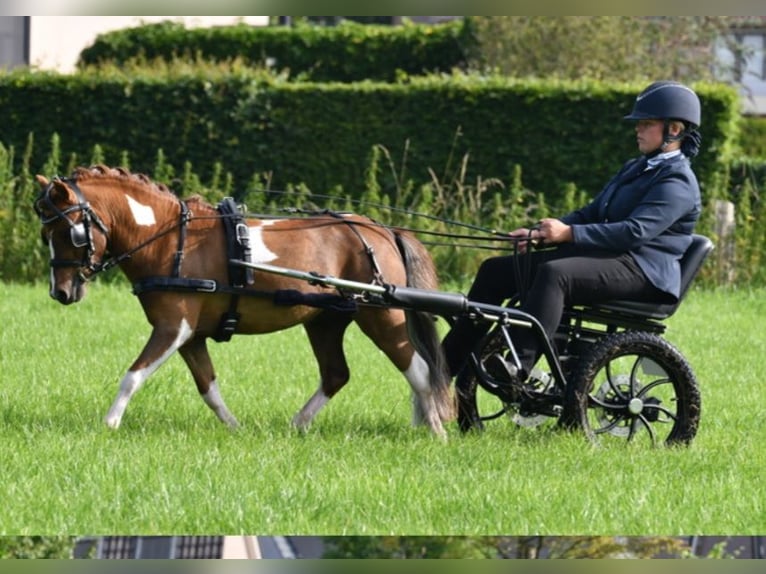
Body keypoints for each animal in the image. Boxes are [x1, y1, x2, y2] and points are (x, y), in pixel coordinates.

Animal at [33, 166, 456, 440]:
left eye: (70, 232)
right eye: (45, 234)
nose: (61, 292)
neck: (169, 239)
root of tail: (379, 229)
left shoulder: (173, 328)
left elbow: (133, 375)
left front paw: (109, 424)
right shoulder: (190, 336)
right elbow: (208, 386)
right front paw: (235, 428)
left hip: (382, 316)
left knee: (419, 371)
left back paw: (436, 429)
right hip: (325, 321)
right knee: (337, 374)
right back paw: (298, 425)